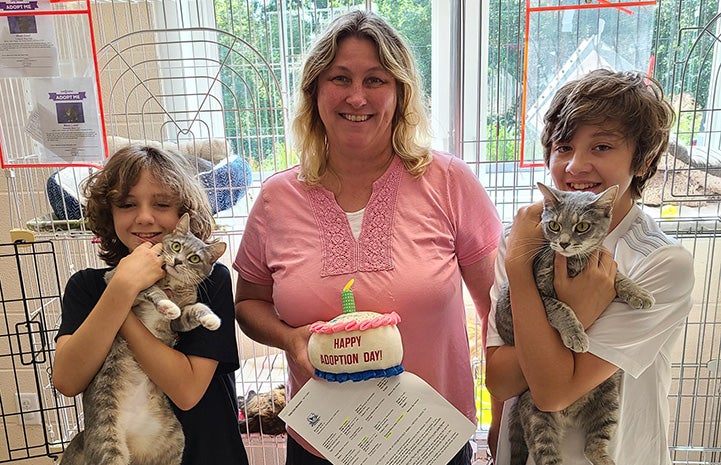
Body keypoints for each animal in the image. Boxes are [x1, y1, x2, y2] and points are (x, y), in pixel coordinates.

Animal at [60, 213, 226, 464]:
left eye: (194, 258)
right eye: (176, 246)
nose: (178, 261)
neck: (173, 284)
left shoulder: (180, 319)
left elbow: (193, 310)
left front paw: (211, 320)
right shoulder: (117, 279)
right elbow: (151, 290)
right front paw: (165, 304)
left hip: (173, 439)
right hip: (107, 438)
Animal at [496, 182, 652, 464]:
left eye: (582, 226)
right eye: (554, 225)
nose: (564, 243)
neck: (573, 263)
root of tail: (569, 415)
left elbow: (619, 277)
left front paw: (639, 293)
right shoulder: (535, 296)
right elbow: (561, 307)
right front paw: (576, 335)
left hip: (609, 397)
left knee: (593, 446)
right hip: (537, 416)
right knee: (548, 455)